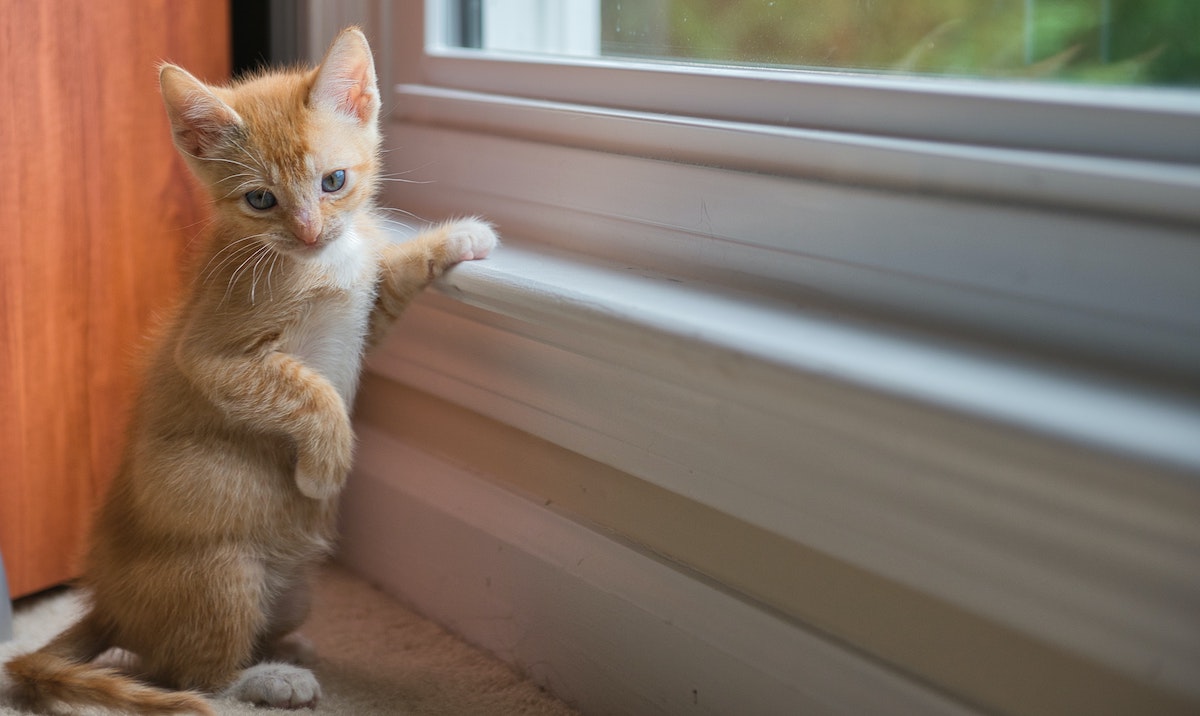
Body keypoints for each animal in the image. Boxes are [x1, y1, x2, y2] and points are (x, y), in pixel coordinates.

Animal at [2, 25, 494, 710]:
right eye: (261, 199)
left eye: (333, 180)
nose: (309, 232)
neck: (318, 263)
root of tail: (112, 607)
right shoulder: (212, 353)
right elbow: (307, 391)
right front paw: (325, 467)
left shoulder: (365, 313)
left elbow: (388, 279)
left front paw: (458, 238)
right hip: (223, 572)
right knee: (187, 673)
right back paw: (268, 678)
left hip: (296, 592)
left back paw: (284, 648)